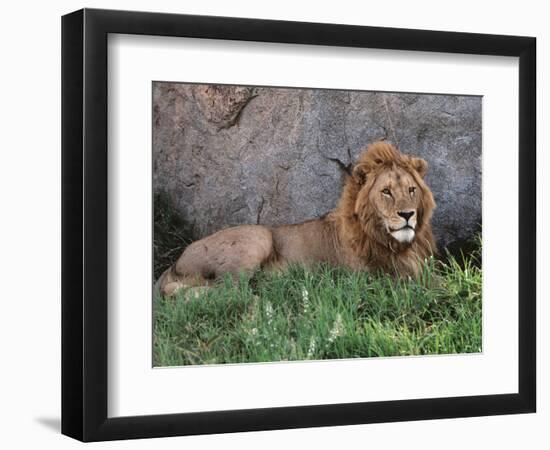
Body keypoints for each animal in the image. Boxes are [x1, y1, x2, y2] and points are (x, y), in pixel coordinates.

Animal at [157, 142, 438, 298]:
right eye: (386, 191)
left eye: (411, 190)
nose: (407, 215)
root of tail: (175, 263)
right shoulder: (374, 280)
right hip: (257, 237)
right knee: (227, 293)